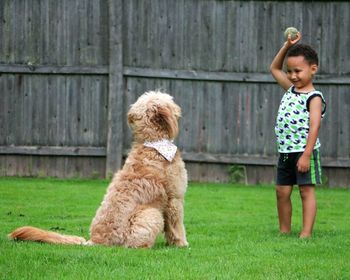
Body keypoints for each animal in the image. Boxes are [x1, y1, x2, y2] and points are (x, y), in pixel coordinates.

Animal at [8, 90, 189, 247]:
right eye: (168, 99)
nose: (179, 107)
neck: (153, 143)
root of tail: (95, 241)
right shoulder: (175, 200)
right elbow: (176, 227)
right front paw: (181, 244)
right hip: (151, 214)